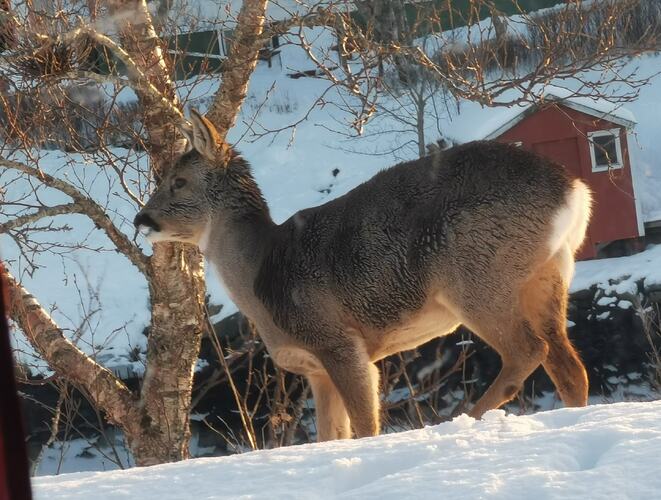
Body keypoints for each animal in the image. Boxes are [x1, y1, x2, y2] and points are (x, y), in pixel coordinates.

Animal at [133, 110, 588, 442]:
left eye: (178, 181)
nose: (142, 219)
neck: (260, 275)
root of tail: (574, 190)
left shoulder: (338, 342)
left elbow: (367, 426)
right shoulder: (315, 370)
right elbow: (331, 436)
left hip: (476, 273)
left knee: (527, 350)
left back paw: (464, 420)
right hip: (548, 275)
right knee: (569, 366)